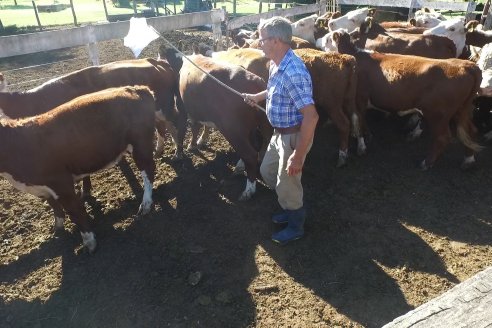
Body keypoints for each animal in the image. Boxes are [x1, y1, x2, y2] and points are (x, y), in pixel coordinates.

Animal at [0, 86, 156, 252]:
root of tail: (136, 88)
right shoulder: (43, 188)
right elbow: (55, 208)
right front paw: (57, 229)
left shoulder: (62, 183)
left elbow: (75, 211)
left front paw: (89, 241)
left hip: (140, 144)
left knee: (148, 170)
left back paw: (146, 204)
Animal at [330, 30, 480, 169]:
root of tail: (467, 65)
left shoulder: (359, 99)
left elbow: (360, 121)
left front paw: (362, 143)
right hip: (461, 110)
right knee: (470, 130)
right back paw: (469, 160)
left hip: (438, 114)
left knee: (443, 138)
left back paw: (426, 162)